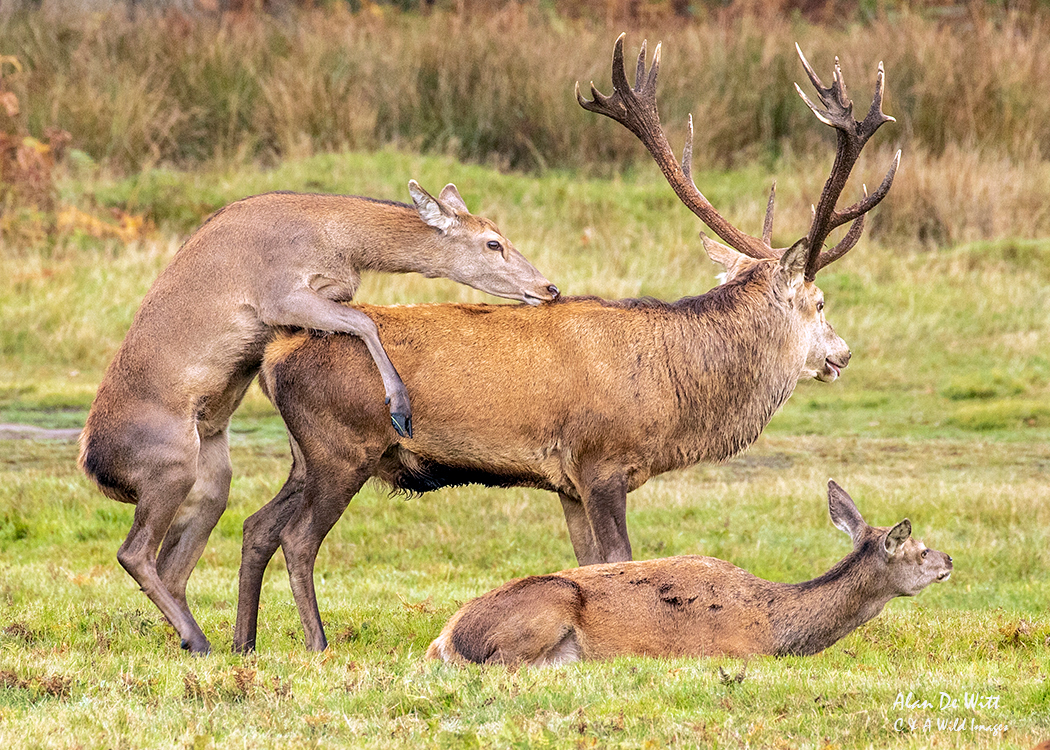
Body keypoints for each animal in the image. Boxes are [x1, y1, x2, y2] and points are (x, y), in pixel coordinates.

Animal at [77, 181, 559, 654]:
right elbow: (364, 321)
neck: (340, 243)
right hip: (169, 462)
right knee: (135, 552)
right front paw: (399, 407)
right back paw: (201, 641)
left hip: (212, 475)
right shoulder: (280, 292)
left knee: (173, 565)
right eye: (493, 242)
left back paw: (211, 640)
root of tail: (99, 469)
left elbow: (358, 318)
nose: (549, 287)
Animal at [231, 36, 900, 653]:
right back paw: (316, 644)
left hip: (305, 452)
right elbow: (620, 559)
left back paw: (243, 642)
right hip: (343, 447)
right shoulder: (600, 462)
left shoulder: (569, 484)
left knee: (256, 525)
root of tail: (276, 353)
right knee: (296, 537)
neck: (671, 393)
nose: (841, 355)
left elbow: (587, 565)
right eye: (819, 303)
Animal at [426, 480, 953, 666]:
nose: (949, 560)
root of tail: (445, 640)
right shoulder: (738, 651)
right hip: (545, 609)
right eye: (921, 548)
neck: (776, 628)